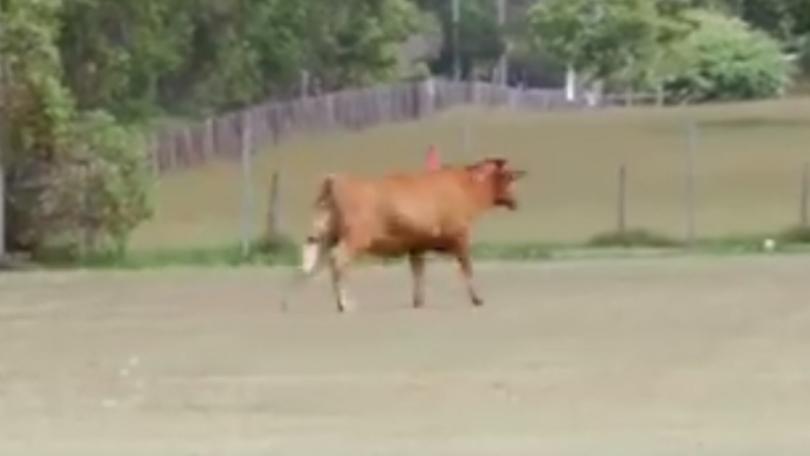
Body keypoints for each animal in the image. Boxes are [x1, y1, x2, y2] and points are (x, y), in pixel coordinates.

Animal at [281, 157, 526, 313]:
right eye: (509, 178)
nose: (516, 201)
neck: (464, 186)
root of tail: (335, 180)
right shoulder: (460, 237)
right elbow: (467, 267)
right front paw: (477, 299)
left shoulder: (417, 245)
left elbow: (418, 273)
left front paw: (418, 302)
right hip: (354, 239)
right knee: (337, 261)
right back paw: (345, 304)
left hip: (323, 236)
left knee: (309, 262)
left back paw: (286, 304)